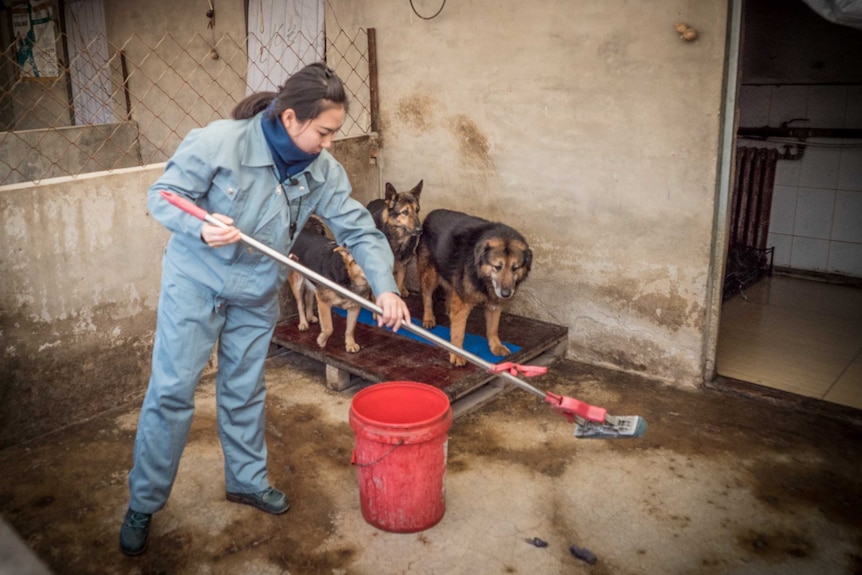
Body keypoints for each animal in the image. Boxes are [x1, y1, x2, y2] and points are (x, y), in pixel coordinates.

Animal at [290, 223, 372, 354]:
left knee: (308, 296)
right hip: (297, 281)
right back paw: (303, 323)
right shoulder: (323, 301)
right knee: (300, 303)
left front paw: (350, 344)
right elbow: (329, 327)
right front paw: (321, 341)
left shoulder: (354, 307)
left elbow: (350, 328)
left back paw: (310, 317)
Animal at [418, 209, 532, 366]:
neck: (483, 278)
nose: (506, 294)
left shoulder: (494, 304)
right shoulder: (463, 302)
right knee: (427, 296)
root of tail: (431, 213)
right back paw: (429, 318)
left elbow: (493, 328)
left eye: (515, 268)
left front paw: (495, 345)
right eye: (497, 267)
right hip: (430, 275)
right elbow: (459, 331)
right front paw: (457, 353)